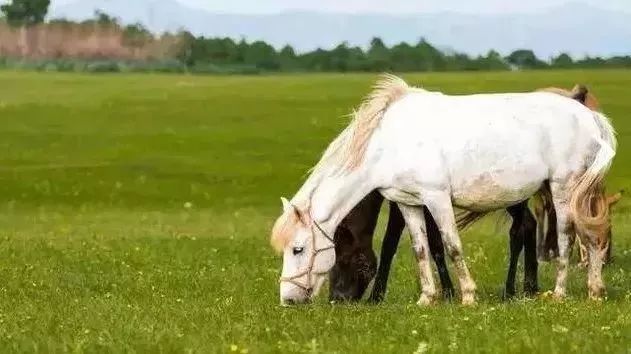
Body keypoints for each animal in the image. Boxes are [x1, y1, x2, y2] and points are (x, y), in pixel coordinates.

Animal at [272, 74, 616, 304]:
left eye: (298, 249)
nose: (288, 298)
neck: (388, 143)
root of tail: (590, 116)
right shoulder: (408, 204)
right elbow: (420, 249)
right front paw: (428, 298)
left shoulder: (436, 198)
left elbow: (451, 245)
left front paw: (467, 296)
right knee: (590, 234)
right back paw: (594, 292)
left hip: (563, 189)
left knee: (567, 235)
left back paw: (558, 293)